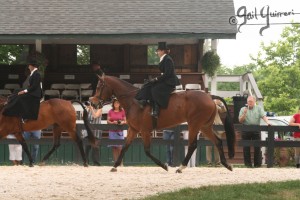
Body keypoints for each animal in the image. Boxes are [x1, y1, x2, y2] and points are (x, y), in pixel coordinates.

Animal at [90, 74, 236, 173]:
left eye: (99, 87)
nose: (93, 103)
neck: (134, 101)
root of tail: (210, 97)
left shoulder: (145, 130)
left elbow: (147, 151)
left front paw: (164, 166)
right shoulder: (133, 129)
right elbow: (125, 147)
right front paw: (114, 166)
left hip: (194, 124)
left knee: (193, 145)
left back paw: (181, 167)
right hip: (205, 126)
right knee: (217, 141)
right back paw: (227, 165)